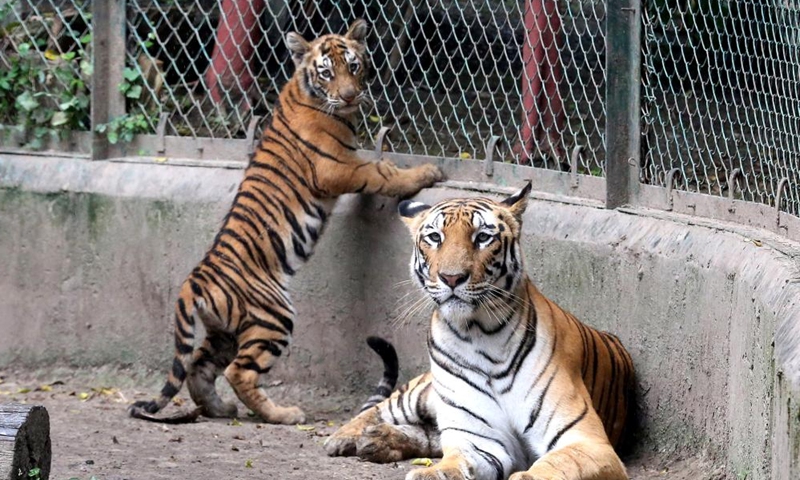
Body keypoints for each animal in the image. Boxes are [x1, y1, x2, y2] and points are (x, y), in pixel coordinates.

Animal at [131, 17, 444, 424]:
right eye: (327, 72)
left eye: (354, 66)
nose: (349, 96)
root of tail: (192, 282)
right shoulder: (337, 167)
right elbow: (381, 173)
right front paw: (426, 173)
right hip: (273, 317)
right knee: (239, 372)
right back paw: (283, 414)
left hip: (224, 331)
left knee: (200, 366)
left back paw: (219, 408)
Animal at [324, 182, 632, 478]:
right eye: (435, 237)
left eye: (483, 237)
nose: (451, 278)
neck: (479, 334)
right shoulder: (477, 440)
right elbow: (453, 463)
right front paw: (430, 474)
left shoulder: (587, 442)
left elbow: (553, 466)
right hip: (420, 392)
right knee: (381, 409)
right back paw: (346, 438)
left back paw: (377, 440)